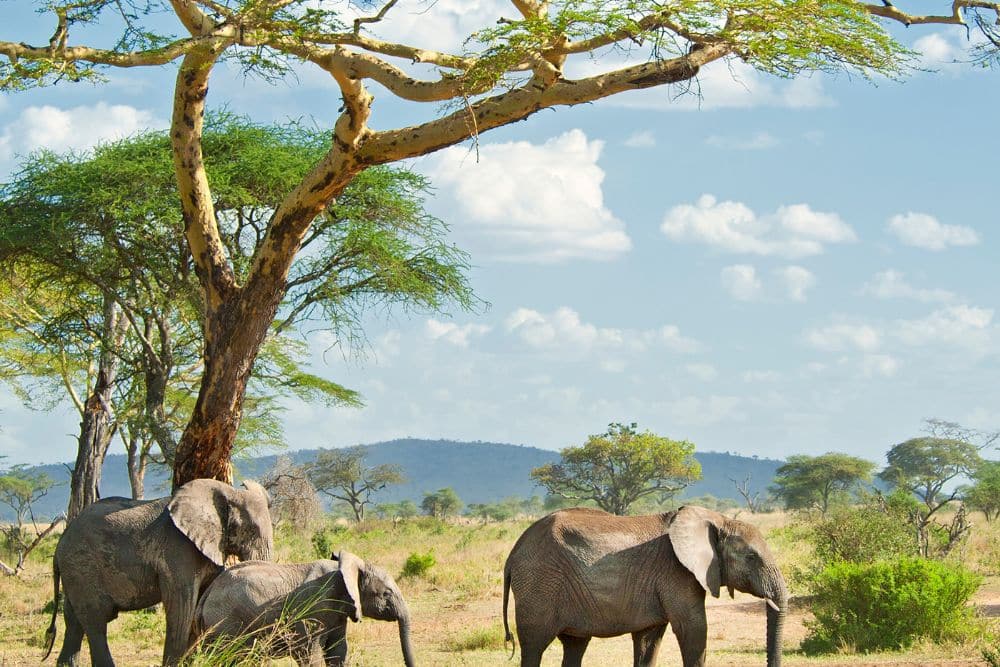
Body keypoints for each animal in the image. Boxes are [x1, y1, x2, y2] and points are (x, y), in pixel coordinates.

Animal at [42, 478, 272, 664]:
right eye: (250, 530)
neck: (226, 491)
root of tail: (59, 545)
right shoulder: (178, 549)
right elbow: (181, 606)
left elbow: (199, 602)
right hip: (82, 566)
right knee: (95, 620)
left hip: (75, 572)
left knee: (73, 620)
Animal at [195, 552, 414, 664]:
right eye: (386, 594)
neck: (344, 570)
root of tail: (209, 591)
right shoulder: (314, 609)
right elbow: (311, 654)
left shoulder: (337, 613)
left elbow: (338, 651)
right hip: (226, 622)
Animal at [500, 506, 788, 667]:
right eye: (751, 557)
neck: (716, 519)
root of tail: (513, 553)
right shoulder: (676, 572)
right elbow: (693, 629)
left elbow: (649, 641)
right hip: (539, 584)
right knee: (534, 645)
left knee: (574, 645)